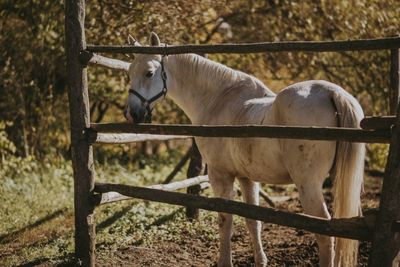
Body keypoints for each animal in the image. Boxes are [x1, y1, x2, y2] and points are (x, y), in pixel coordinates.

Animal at [125, 33, 366, 267]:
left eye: (149, 73)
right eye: (129, 73)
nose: (132, 114)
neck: (219, 99)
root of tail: (330, 92)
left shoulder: (221, 175)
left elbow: (225, 220)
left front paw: (225, 261)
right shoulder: (247, 178)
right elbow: (253, 220)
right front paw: (261, 261)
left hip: (308, 185)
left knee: (325, 234)